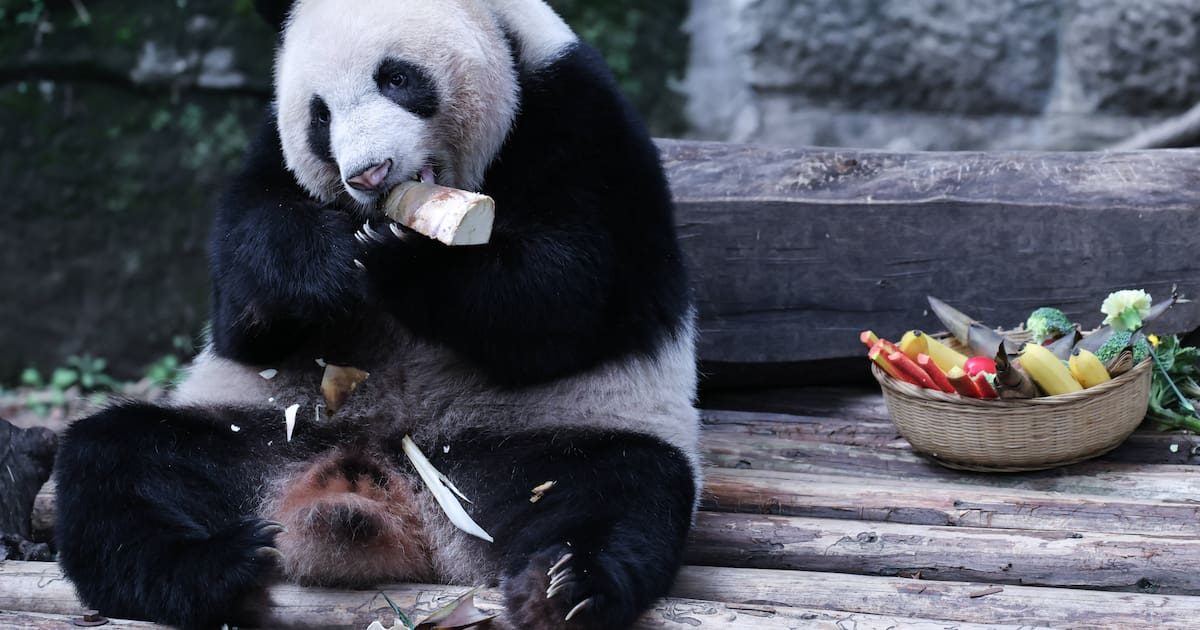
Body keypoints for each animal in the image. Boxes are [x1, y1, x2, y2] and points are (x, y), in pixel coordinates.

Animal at [53, 0, 699, 629]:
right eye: (319, 117)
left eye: (397, 78)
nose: (368, 174)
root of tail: (383, 487)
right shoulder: (270, 154)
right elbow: (241, 306)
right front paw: (327, 262)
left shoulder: (579, 121)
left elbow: (573, 293)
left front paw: (403, 261)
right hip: (257, 440)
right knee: (116, 462)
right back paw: (217, 565)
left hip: (518, 451)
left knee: (619, 491)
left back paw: (560, 589)